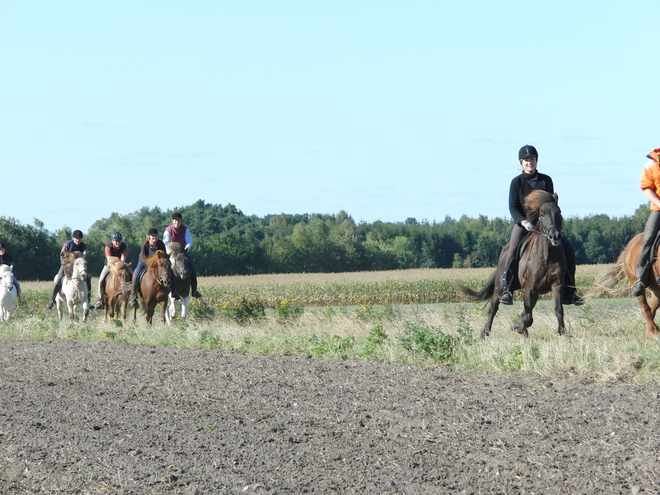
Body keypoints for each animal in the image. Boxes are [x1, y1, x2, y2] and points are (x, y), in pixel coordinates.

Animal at [458, 189, 568, 338]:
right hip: (500, 286)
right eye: (542, 214)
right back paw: (485, 333)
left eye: (559, 212)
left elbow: (558, 309)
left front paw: (563, 333)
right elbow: (527, 317)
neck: (546, 256)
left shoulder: (556, 285)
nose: (554, 236)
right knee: (494, 307)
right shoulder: (530, 288)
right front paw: (517, 327)